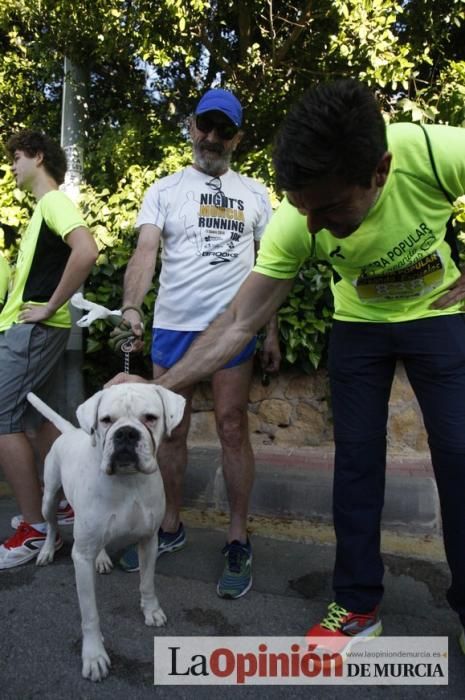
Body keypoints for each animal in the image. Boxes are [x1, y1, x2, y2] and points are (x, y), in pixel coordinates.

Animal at [27, 382, 185, 684]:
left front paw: (151, 611)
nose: (126, 433)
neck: (128, 481)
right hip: (49, 499)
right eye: (106, 420)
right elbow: (90, 614)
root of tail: (71, 430)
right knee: (52, 525)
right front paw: (94, 656)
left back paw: (101, 558)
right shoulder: (81, 557)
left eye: (150, 417)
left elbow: (147, 583)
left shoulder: (149, 541)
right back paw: (47, 551)